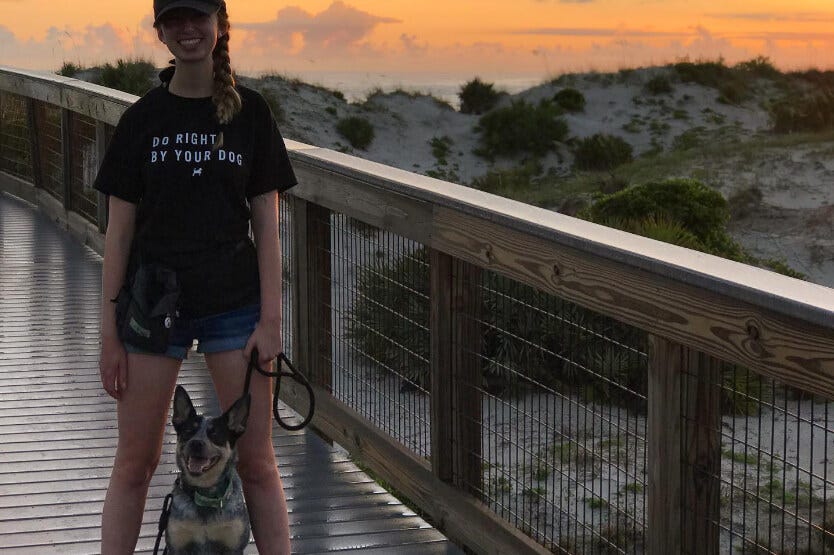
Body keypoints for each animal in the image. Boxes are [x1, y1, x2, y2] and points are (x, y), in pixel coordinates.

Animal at [165, 386, 250, 555]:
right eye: (188, 432)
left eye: (215, 434)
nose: (196, 443)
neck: (205, 496)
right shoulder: (177, 544)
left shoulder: (233, 545)